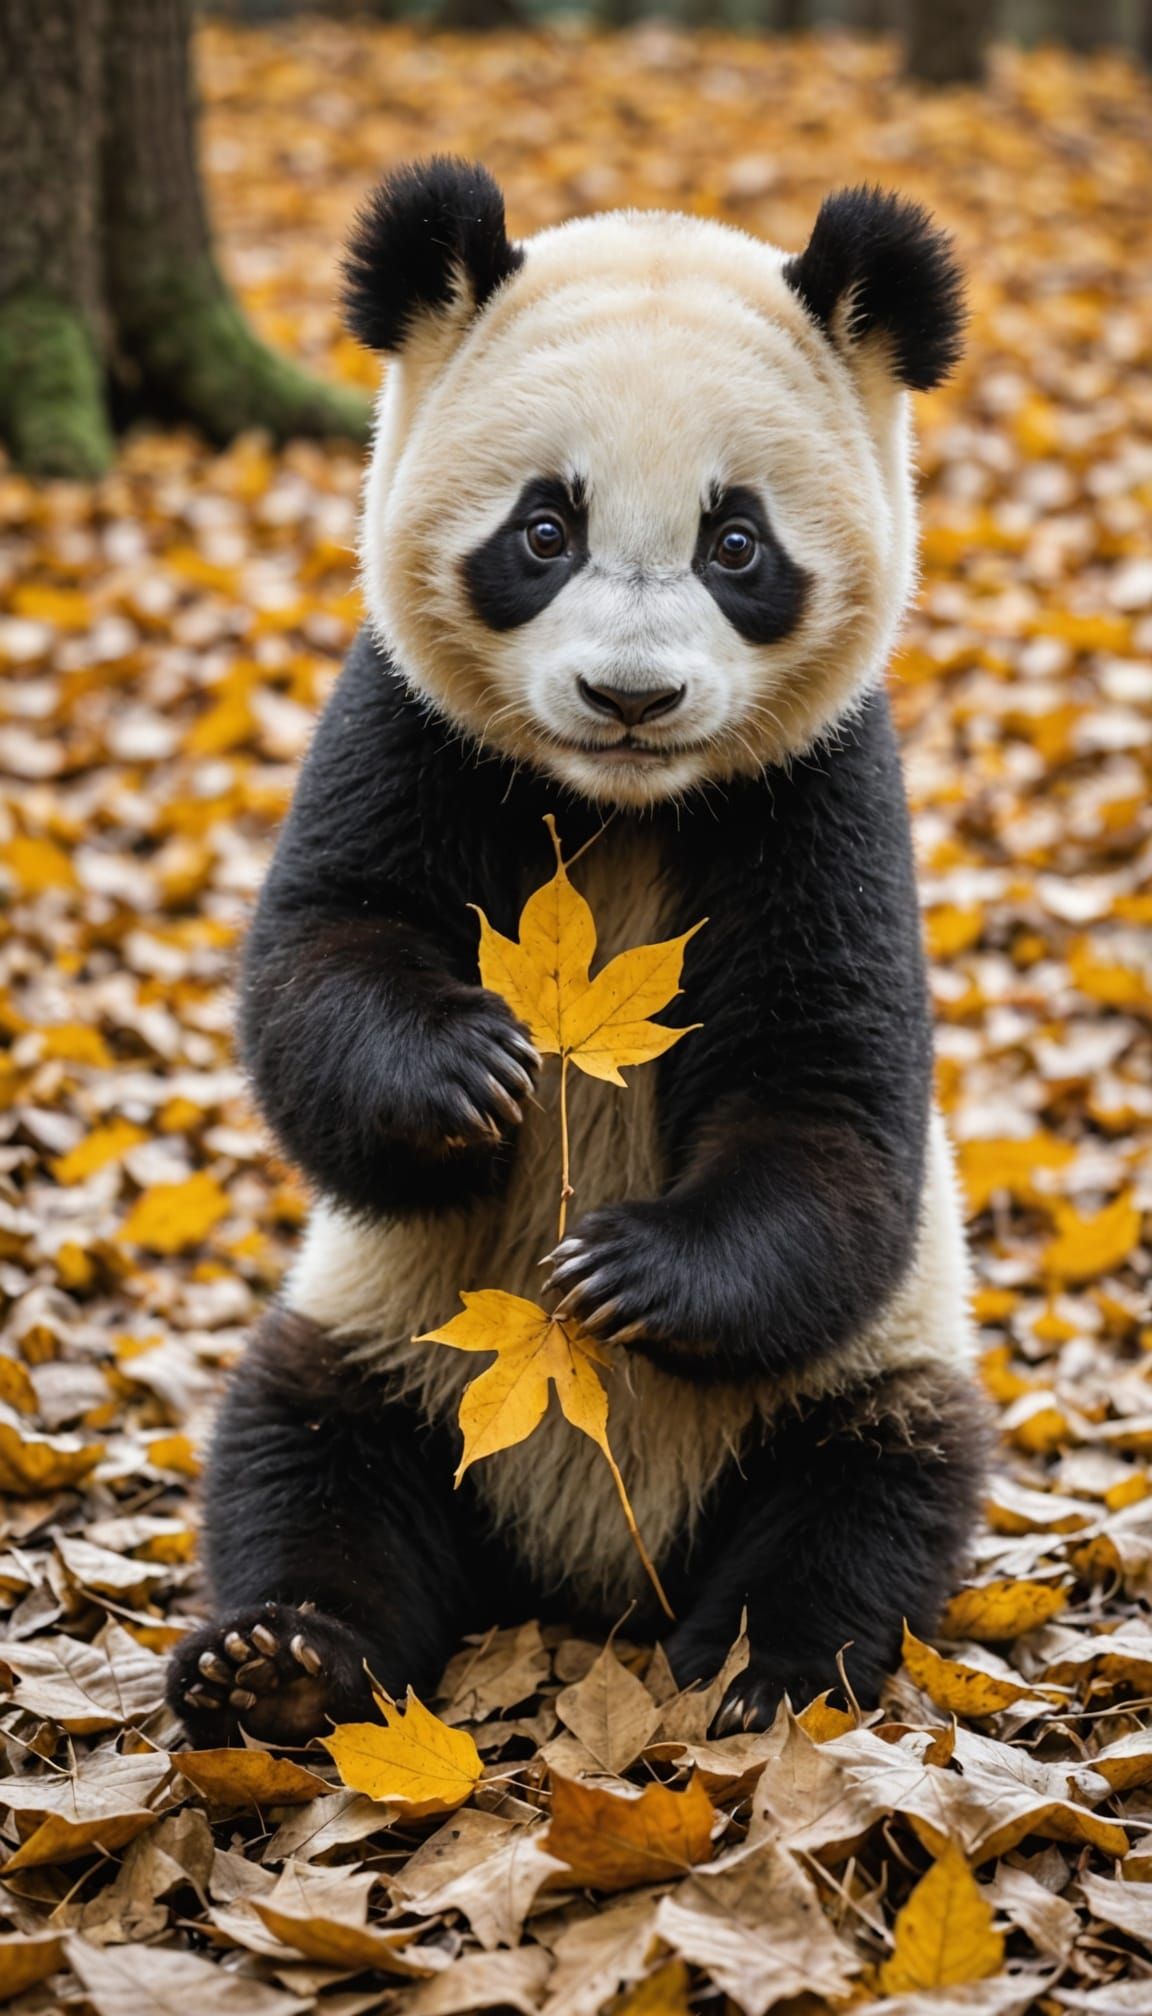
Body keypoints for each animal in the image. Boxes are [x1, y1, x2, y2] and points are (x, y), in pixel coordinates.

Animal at [169, 158, 987, 1746]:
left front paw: (630, 1273)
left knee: (874, 1493)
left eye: (737, 544)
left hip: (855, 1378)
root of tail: (589, 1571)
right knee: (304, 1457)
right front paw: (463, 1079)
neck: (616, 810)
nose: (631, 696)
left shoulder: (820, 792)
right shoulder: (408, 727)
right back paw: (280, 1665)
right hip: (390, 1337)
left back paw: (765, 1674)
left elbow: (832, 1090)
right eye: (543, 530)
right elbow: (319, 958)